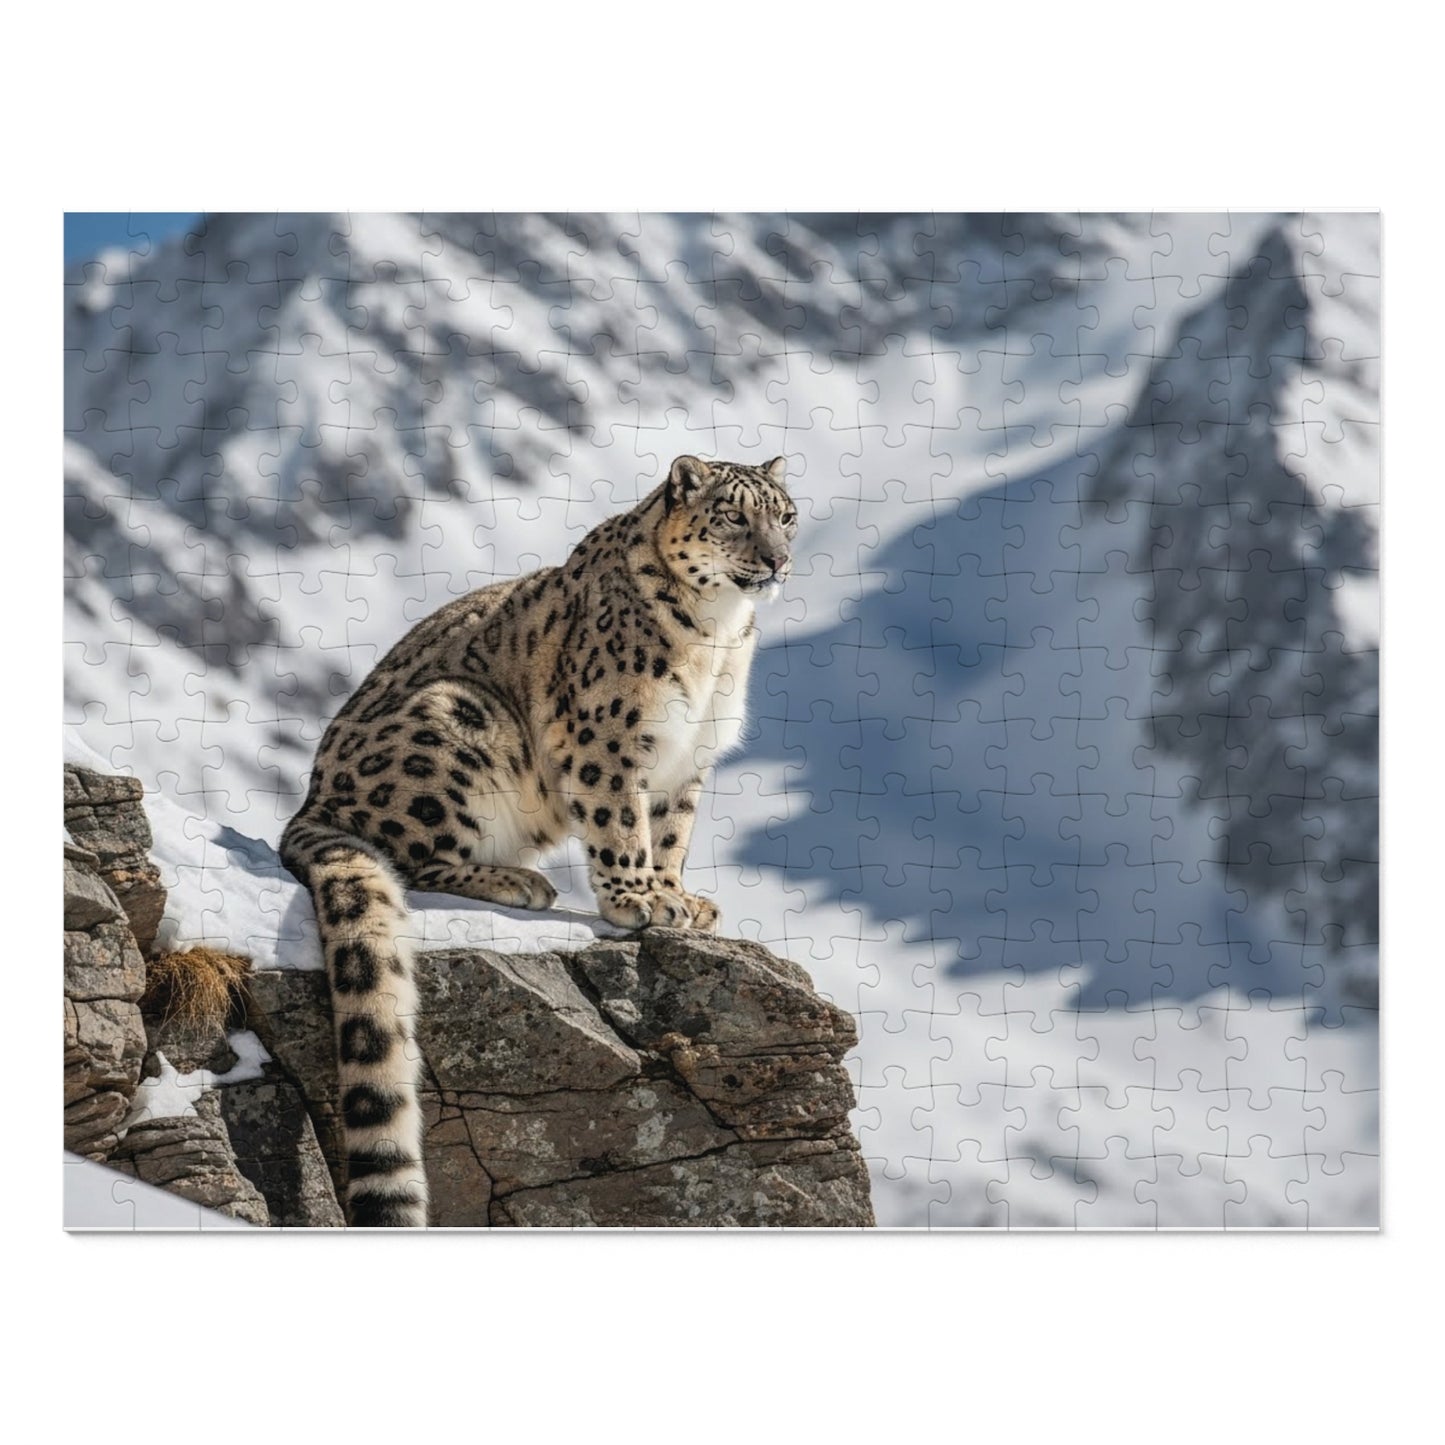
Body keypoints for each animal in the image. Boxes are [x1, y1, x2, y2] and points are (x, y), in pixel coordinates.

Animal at [278, 454, 798, 1226]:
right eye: (734, 515)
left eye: (786, 515)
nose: (776, 559)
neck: (718, 636)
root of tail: (310, 802)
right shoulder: (607, 738)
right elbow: (621, 821)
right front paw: (637, 900)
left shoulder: (687, 759)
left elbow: (670, 832)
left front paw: (679, 897)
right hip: (456, 723)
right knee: (406, 855)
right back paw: (515, 880)